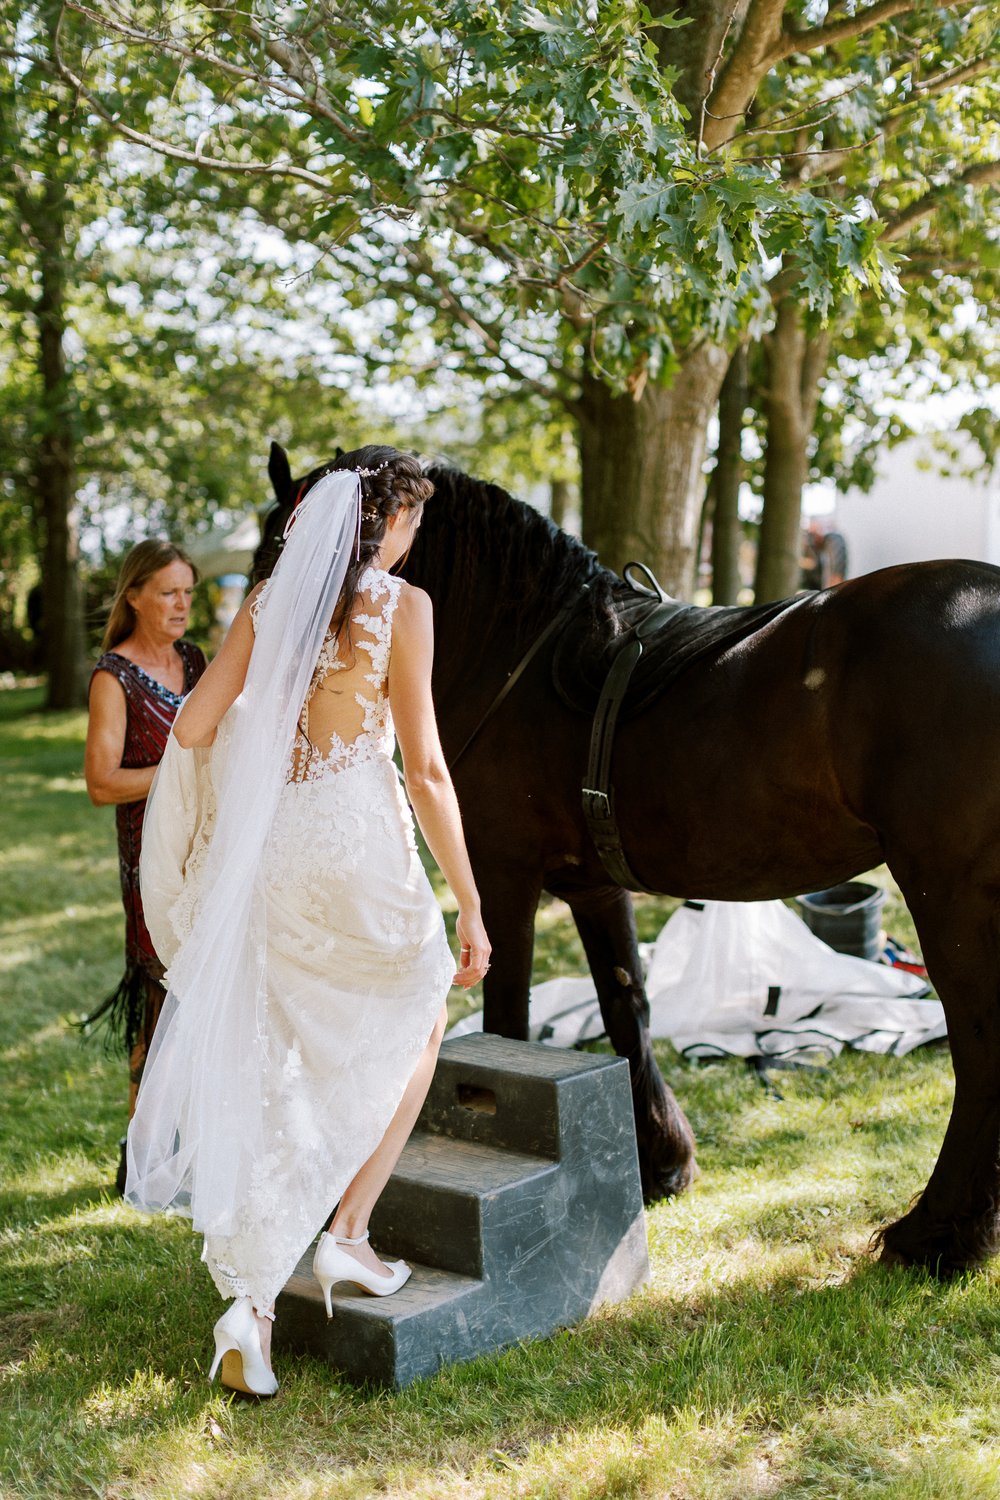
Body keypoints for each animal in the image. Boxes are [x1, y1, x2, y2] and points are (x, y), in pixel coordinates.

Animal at [260, 444, 1000, 1278]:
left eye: (284, 543)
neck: (516, 650)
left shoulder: (502, 877)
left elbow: (510, 1020)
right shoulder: (591, 885)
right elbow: (626, 1007)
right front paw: (659, 1163)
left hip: (949, 890)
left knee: (981, 1047)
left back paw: (939, 1232)